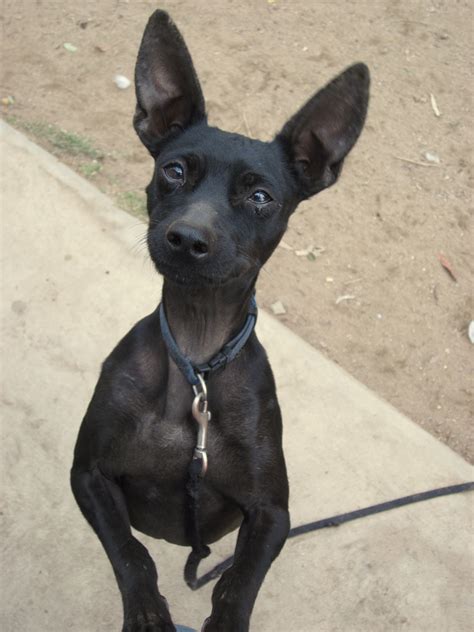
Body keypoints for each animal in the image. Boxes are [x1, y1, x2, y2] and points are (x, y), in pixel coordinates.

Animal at [70, 9, 368, 632]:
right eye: (174, 170)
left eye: (260, 197)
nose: (187, 238)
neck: (198, 356)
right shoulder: (88, 475)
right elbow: (132, 553)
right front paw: (148, 613)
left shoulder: (273, 515)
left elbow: (236, 585)